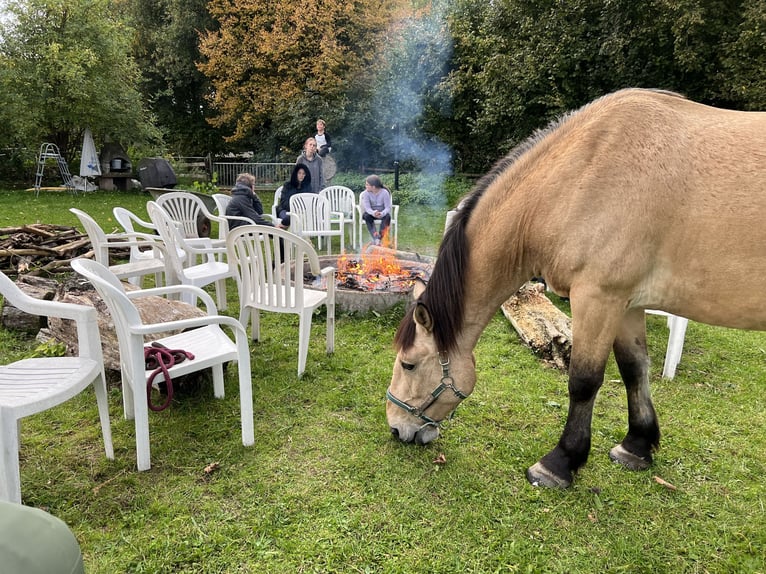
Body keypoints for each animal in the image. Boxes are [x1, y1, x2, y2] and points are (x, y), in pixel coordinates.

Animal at [390, 89, 766, 490]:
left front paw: (560, 462)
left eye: (409, 364)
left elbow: (584, 381)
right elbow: (634, 369)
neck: (582, 174)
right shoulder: (626, 304)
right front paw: (637, 446)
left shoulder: (597, 298)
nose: (396, 429)